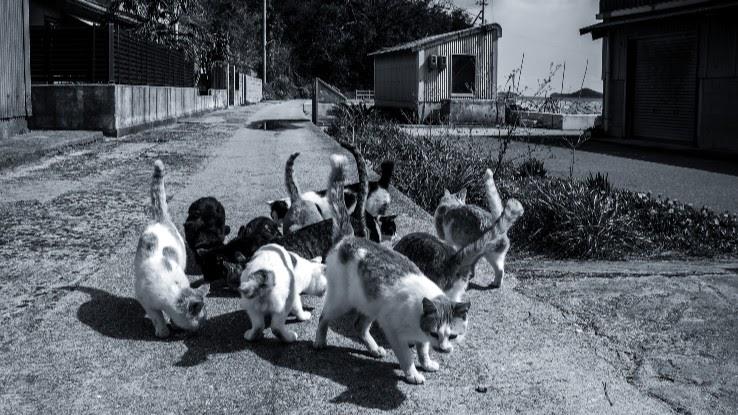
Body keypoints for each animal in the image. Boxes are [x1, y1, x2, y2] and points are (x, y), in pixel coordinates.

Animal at [134, 159, 208, 338]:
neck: (172, 289)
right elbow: (157, 317)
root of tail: (160, 219)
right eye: (202, 318)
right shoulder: (146, 301)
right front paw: (162, 330)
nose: (205, 325)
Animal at [237, 154, 350, 342]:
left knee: (258, 324)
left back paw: (250, 334)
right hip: (282, 303)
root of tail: (262, 277)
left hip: (251, 305)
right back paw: (289, 336)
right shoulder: (295, 296)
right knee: (276, 326)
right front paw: (303, 315)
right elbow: (298, 308)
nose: (325, 293)